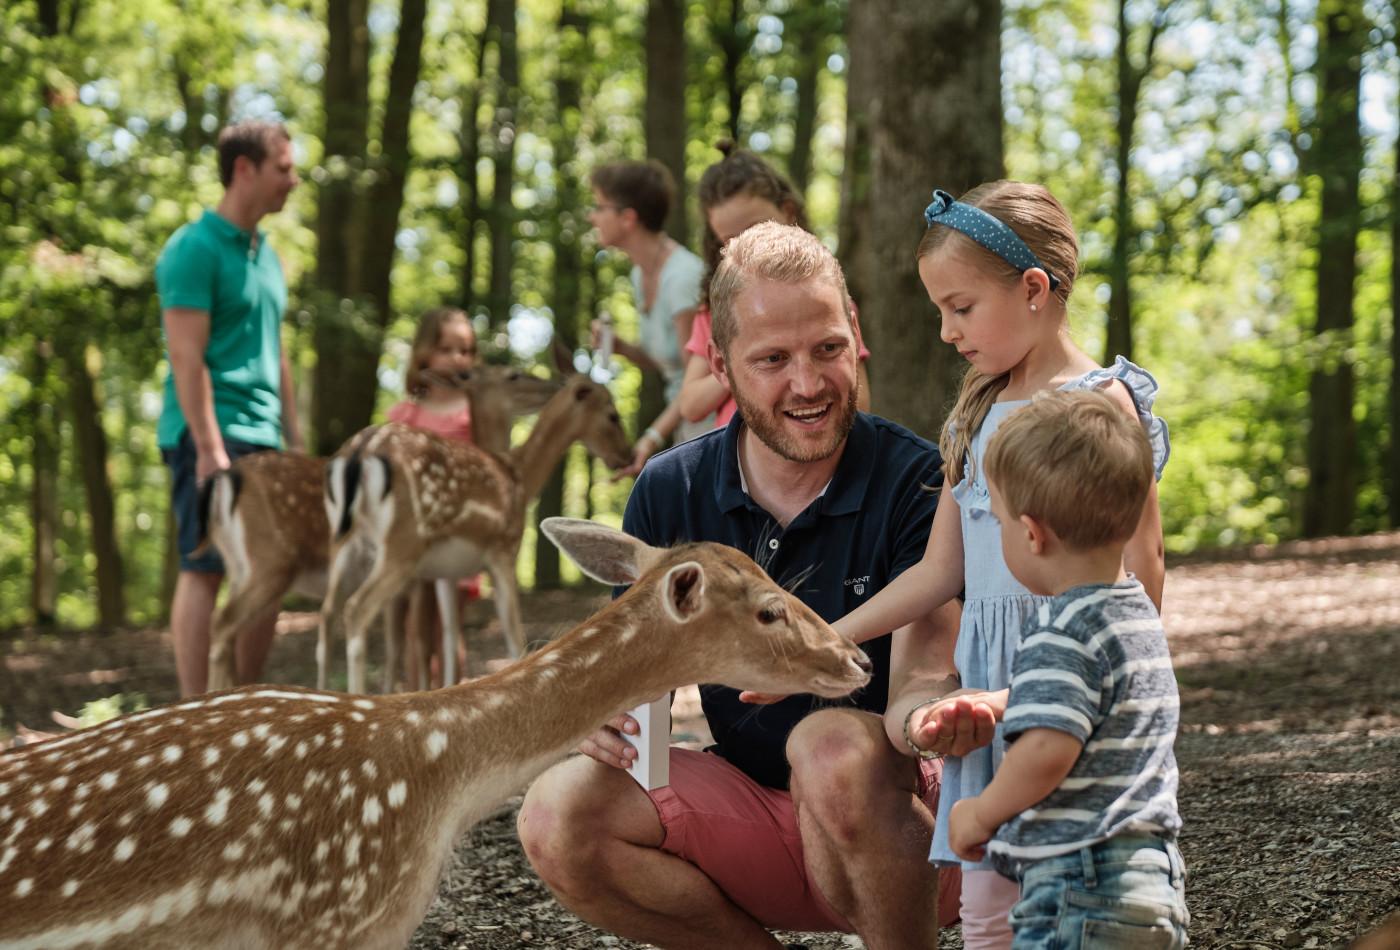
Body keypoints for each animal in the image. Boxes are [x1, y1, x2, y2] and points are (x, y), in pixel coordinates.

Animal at [320, 374, 632, 693]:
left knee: (328, 614)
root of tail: (361, 450)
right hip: (403, 543)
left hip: (344, 542)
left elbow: (449, 636)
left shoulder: (446, 572)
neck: (519, 476)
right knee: (356, 609)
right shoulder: (504, 550)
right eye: (612, 414)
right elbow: (514, 635)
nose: (627, 454)